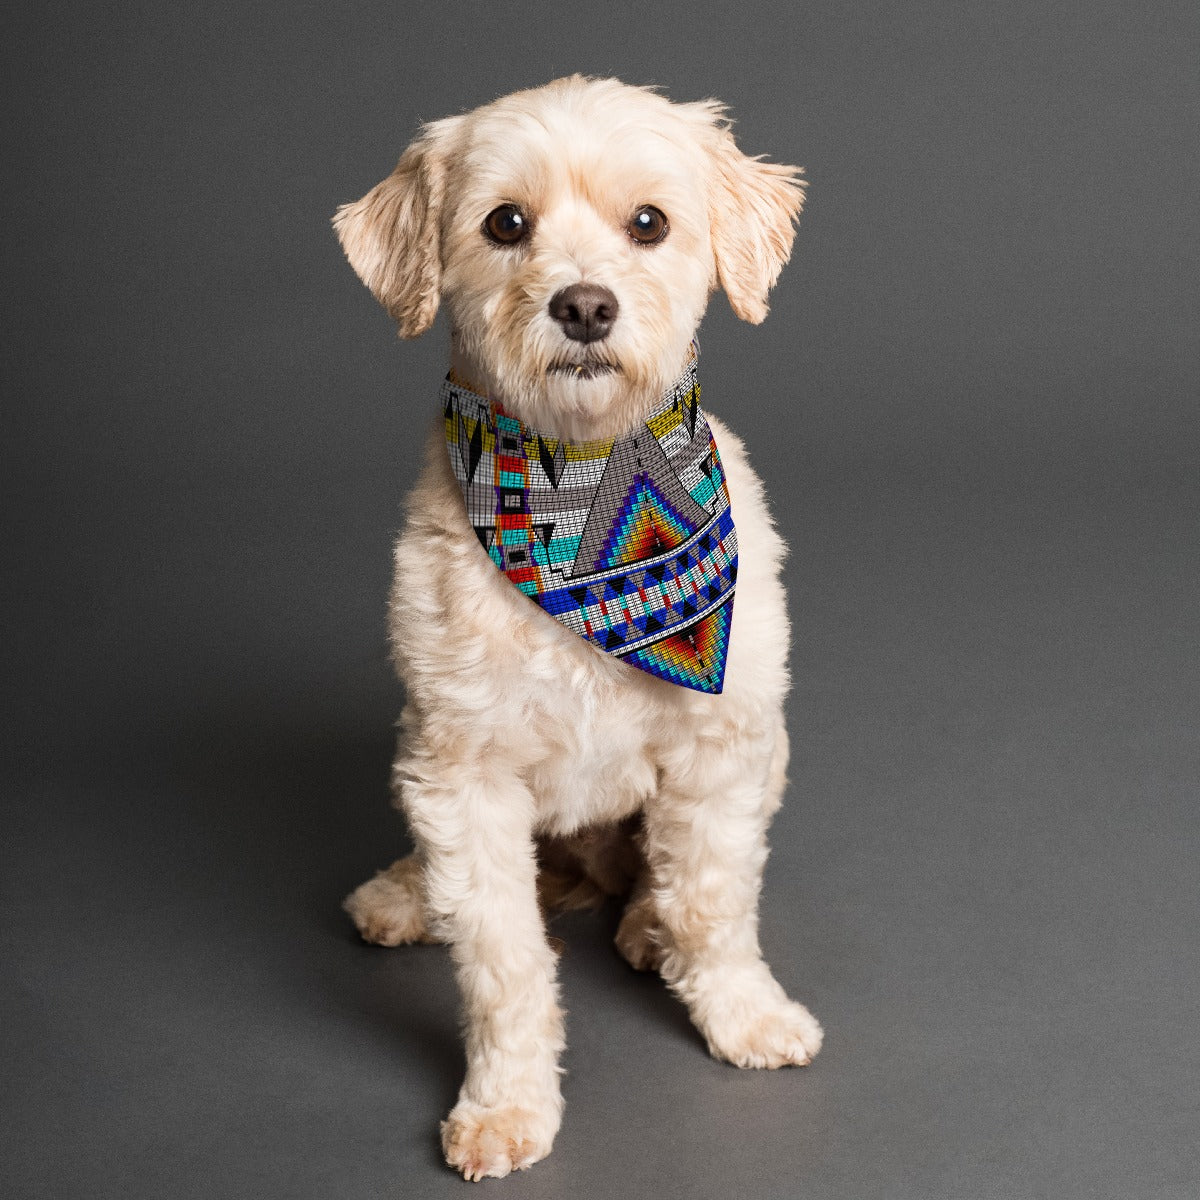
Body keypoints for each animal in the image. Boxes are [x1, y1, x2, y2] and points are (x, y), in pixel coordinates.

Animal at [338, 77, 825, 1180]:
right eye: (504, 224)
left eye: (648, 223)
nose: (586, 305)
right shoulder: (463, 773)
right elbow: (500, 960)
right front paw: (506, 1102)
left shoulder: (724, 750)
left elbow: (712, 901)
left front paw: (741, 1011)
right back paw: (404, 895)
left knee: (658, 879)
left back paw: (644, 926)